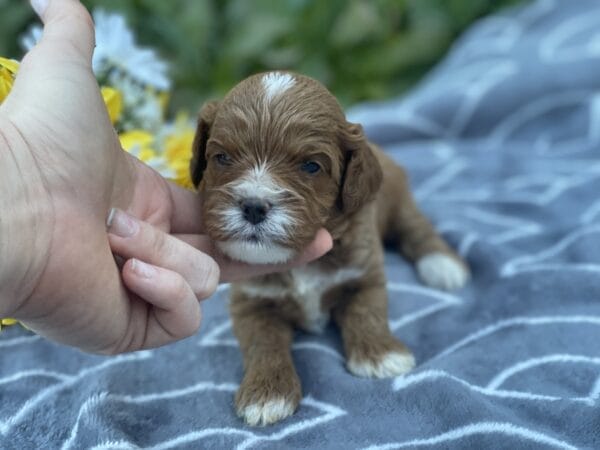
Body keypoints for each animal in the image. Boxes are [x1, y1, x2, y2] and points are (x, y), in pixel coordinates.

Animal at [192, 70, 468, 426]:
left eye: (311, 166)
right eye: (222, 158)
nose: (253, 207)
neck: (297, 260)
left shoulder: (364, 273)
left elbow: (367, 312)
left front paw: (381, 355)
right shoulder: (251, 303)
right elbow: (262, 344)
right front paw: (267, 394)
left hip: (399, 202)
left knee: (416, 229)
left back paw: (443, 266)